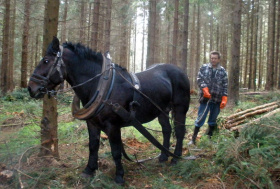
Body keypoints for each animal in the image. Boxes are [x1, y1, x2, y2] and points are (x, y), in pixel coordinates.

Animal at [28, 36, 190, 184]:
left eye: (46, 61)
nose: (31, 88)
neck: (100, 85)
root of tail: (181, 71)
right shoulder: (92, 123)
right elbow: (93, 146)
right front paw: (89, 170)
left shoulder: (113, 126)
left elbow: (116, 151)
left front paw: (119, 176)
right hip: (162, 110)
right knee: (166, 130)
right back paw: (163, 157)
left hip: (180, 109)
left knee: (179, 132)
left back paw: (176, 158)